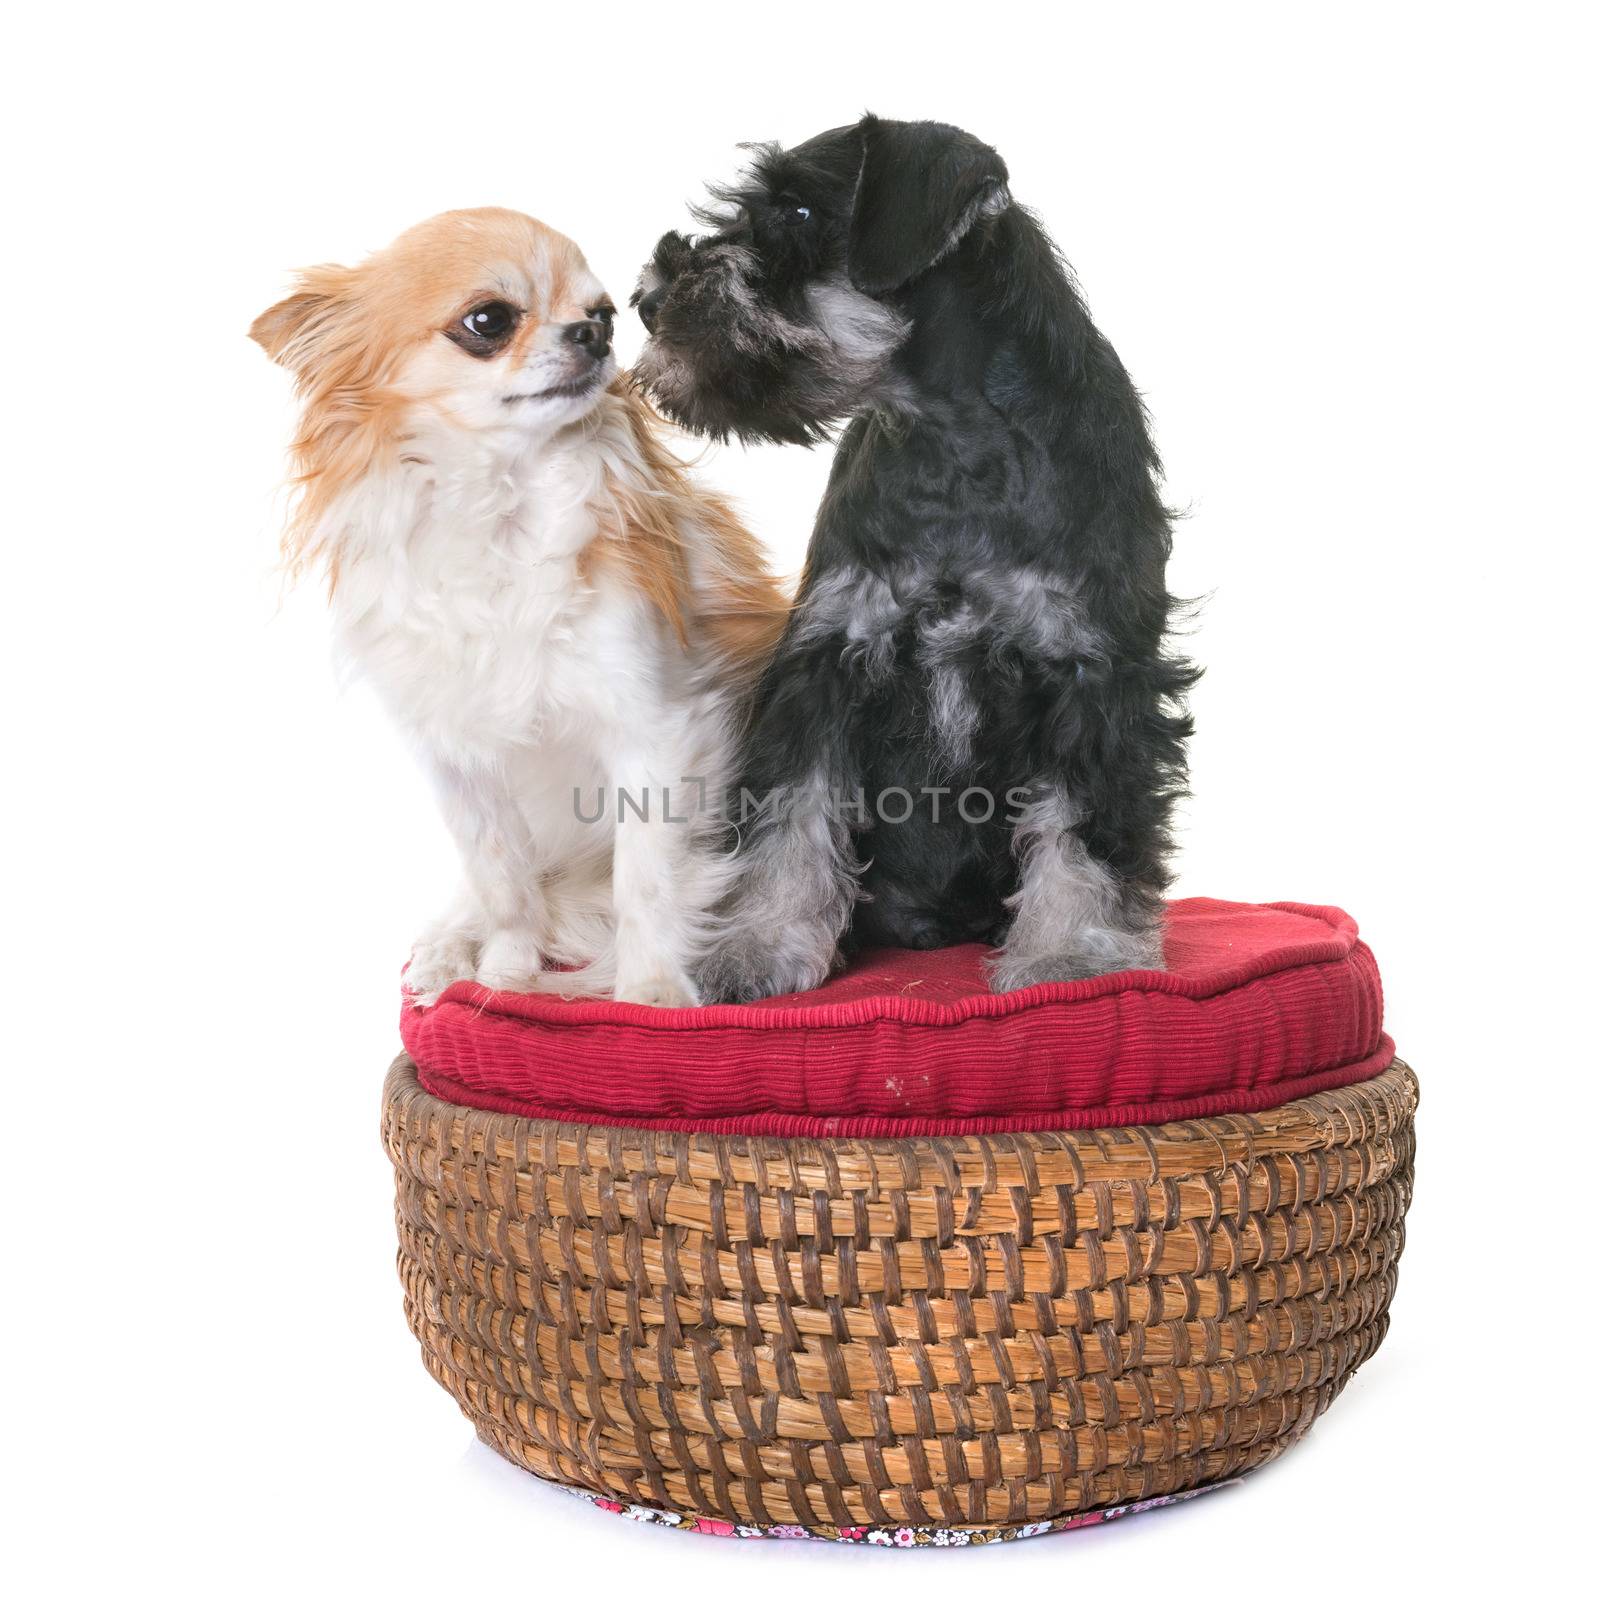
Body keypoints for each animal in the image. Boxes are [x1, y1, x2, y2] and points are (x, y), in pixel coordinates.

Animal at [630, 116, 1196, 998]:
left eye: (797, 210)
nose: (648, 300)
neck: (951, 442)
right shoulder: (825, 660)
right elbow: (789, 820)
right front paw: (753, 949)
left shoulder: (1093, 674)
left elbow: (1085, 832)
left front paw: (1075, 956)